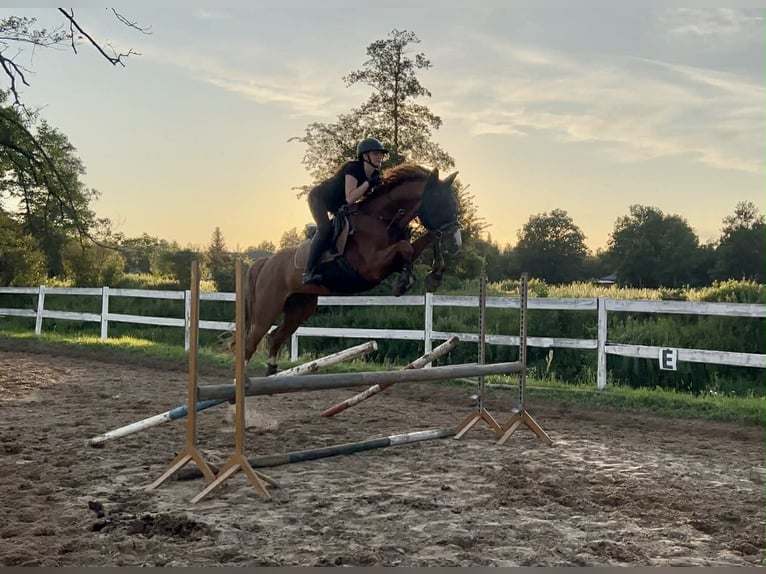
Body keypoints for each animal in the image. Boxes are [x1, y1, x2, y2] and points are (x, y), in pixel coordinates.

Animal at [241, 163, 462, 375]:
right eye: (440, 202)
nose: (456, 244)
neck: (381, 219)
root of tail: (265, 263)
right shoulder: (371, 267)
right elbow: (405, 247)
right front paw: (404, 282)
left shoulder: (391, 261)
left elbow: (426, 239)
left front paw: (433, 276)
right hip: (268, 308)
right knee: (250, 342)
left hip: (300, 308)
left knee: (274, 337)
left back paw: (271, 371)